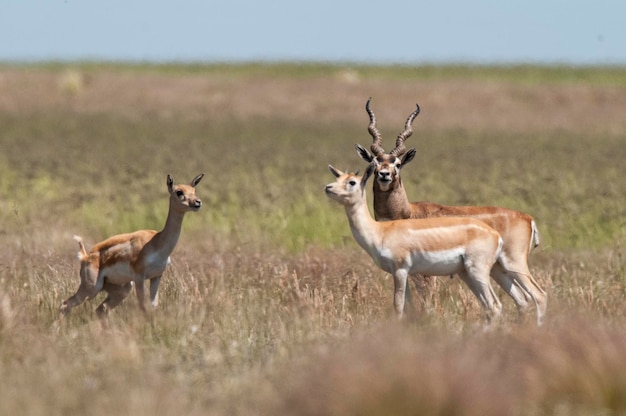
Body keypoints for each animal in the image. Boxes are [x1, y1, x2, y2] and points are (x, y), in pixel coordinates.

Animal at [58, 174, 202, 320]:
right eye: (179, 192)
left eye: (194, 190)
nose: (197, 202)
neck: (156, 242)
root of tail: (86, 256)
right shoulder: (139, 277)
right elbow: (143, 306)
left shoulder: (156, 277)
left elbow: (153, 306)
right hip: (91, 288)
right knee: (65, 304)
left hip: (122, 289)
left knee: (101, 309)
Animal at [322, 166, 502, 322]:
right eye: (338, 178)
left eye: (352, 182)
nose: (328, 187)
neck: (380, 231)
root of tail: (496, 235)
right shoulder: (399, 273)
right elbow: (407, 306)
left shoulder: (400, 270)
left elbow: (398, 305)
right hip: (467, 274)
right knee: (494, 305)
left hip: (477, 272)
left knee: (493, 306)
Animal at [356, 98, 544, 324]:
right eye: (374, 162)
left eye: (398, 164)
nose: (384, 175)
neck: (408, 212)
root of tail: (527, 218)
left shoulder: (425, 275)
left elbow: (428, 305)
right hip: (499, 270)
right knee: (522, 300)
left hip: (514, 264)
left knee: (538, 295)